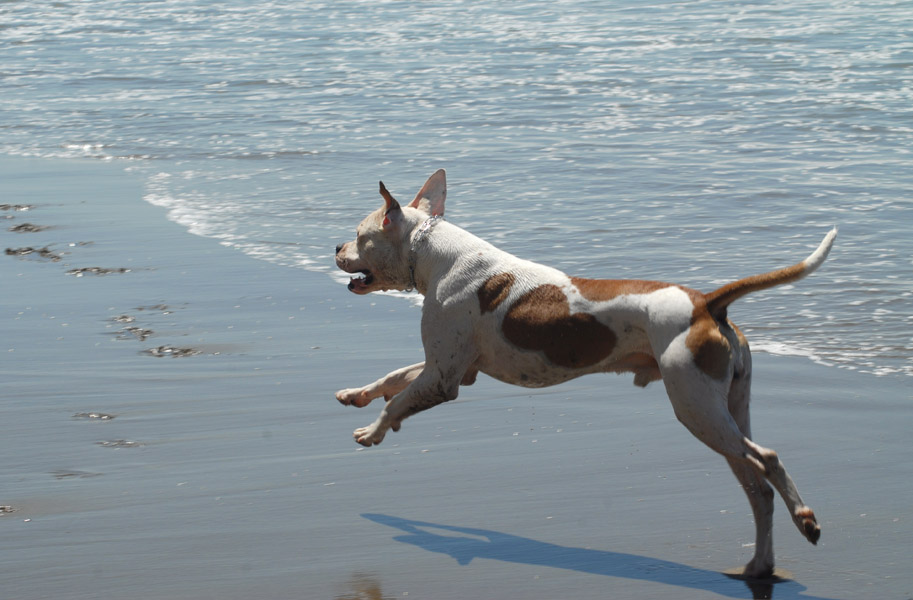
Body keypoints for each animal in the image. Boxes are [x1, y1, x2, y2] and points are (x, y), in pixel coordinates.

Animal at [334, 170, 832, 580]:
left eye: (359, 235)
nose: (335, 248)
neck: (436, 254)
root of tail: (706, 304)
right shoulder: (452, 368)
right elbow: (393, 378)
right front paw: (357, 394)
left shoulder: (444, 379)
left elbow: (400, 400)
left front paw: (373, 431)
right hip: (726, 411)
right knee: (757, 488)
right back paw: (760, 565)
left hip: (697, 409)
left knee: (767, 459)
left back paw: (806, 519)